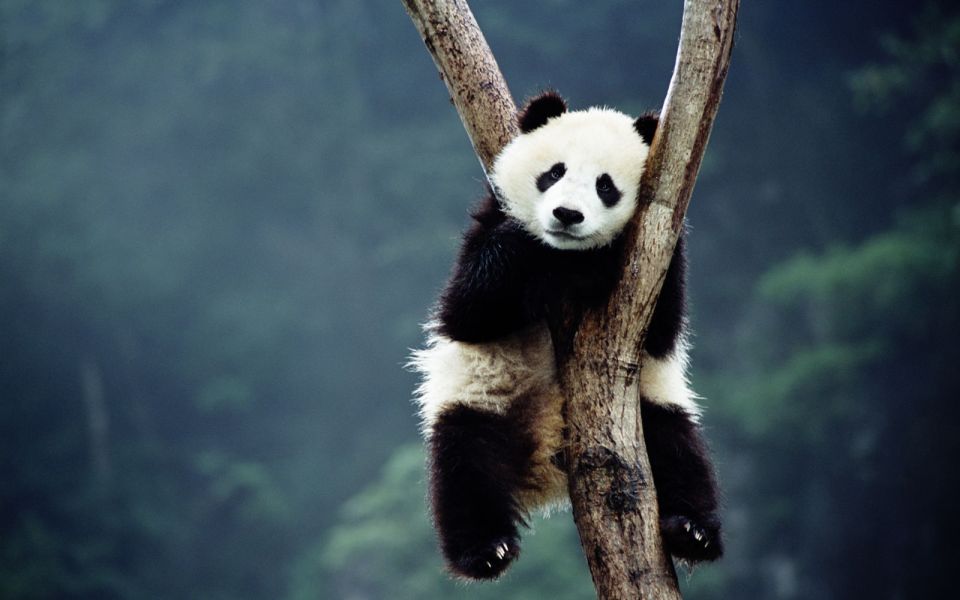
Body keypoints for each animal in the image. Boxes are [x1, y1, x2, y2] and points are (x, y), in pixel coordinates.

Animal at [411, 91, 722, 580]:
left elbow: (662, 330)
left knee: (679, 451)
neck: (564, 255)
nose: (566, 215)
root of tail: (546, 466)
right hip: (481, 401)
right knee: (464, 468)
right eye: (554, 173)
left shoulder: (659, 252)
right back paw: (486, 550)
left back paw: (693, 531)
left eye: (605, 186)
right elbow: (467, 309)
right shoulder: (488, 224)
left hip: (649, 410)